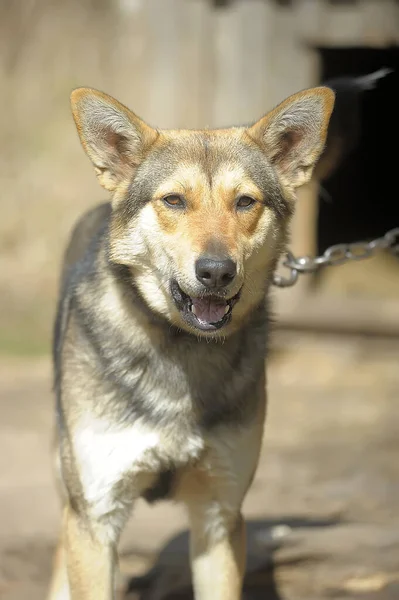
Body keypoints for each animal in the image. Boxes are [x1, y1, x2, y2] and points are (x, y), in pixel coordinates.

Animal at [47, 84, 334, 600]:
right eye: (175, 200)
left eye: (245, 202)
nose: (217, 272)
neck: (182, 350)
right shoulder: (97, 513)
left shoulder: (219, 515)